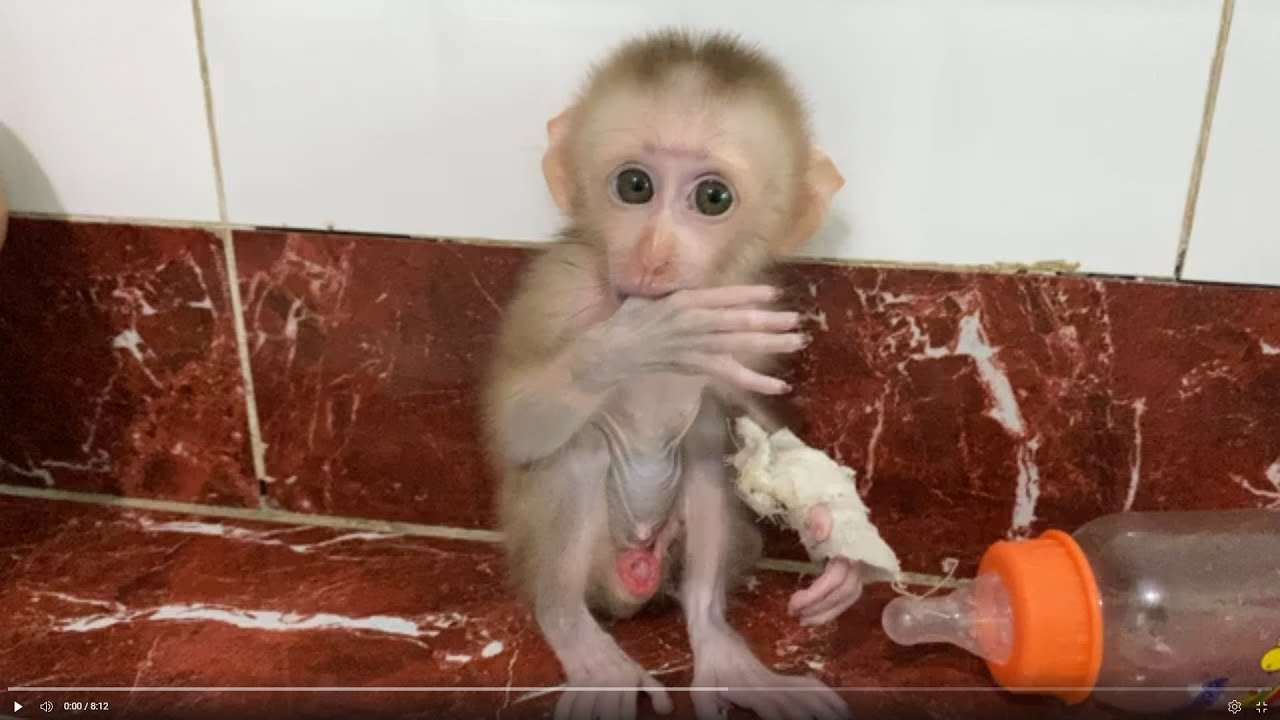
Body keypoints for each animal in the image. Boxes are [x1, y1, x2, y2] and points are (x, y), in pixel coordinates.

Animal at [482, 30, 858, 720]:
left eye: (712, 198)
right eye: (635, 186)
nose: (654, 254)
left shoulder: (748, 316)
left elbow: (755, 419)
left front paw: (833, 535)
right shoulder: (561, 290)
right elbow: (516, 426)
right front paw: (643, 338)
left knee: (710, 444)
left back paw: (719, 643)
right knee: (578, 450)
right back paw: (579, 636)